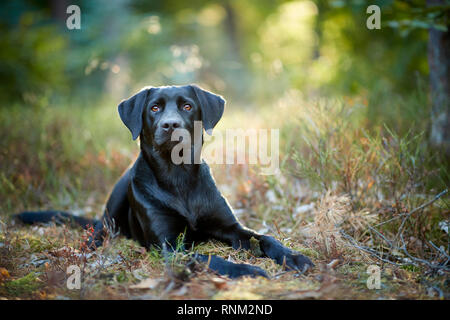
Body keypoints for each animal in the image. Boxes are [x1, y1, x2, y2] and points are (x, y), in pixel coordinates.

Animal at [17, 84, 312, 278]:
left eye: (187, 106)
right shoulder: (168, 246)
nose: (171, 125)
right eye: (155, 108)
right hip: (112, 209)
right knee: (98, 232)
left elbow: (265, 238)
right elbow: (209, 258)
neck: (177, 176)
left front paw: (294, 257)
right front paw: (245, 270)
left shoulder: (231, 228)